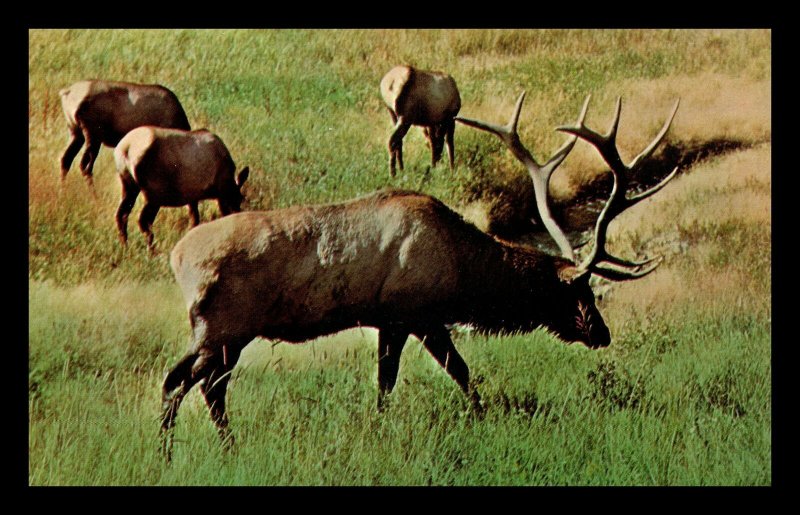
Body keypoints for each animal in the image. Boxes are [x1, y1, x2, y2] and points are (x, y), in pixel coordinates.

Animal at [113, 126, 250, 253]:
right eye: (240, 199)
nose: (239, 217)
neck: (230, 182)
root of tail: (125, 149)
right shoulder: (221, 192)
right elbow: (219, 215)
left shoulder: (193, 196)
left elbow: (194, 220)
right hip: (154, 194)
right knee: (143, 220)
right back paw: (152, 250)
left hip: (129, 185)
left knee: (121, 215)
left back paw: (125, 246)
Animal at [159, 92, 680, 460]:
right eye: (578, 290)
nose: (602, 333)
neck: (463, 273)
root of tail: (178, 258)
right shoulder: (414, 314)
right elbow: (454, 373)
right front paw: (478, 419)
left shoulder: (391, 321)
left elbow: (393, 383)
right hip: (222, 327)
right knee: (180, 383)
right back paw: (171, 453)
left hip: (224, 335)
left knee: (205, 388)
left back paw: (219, 448)